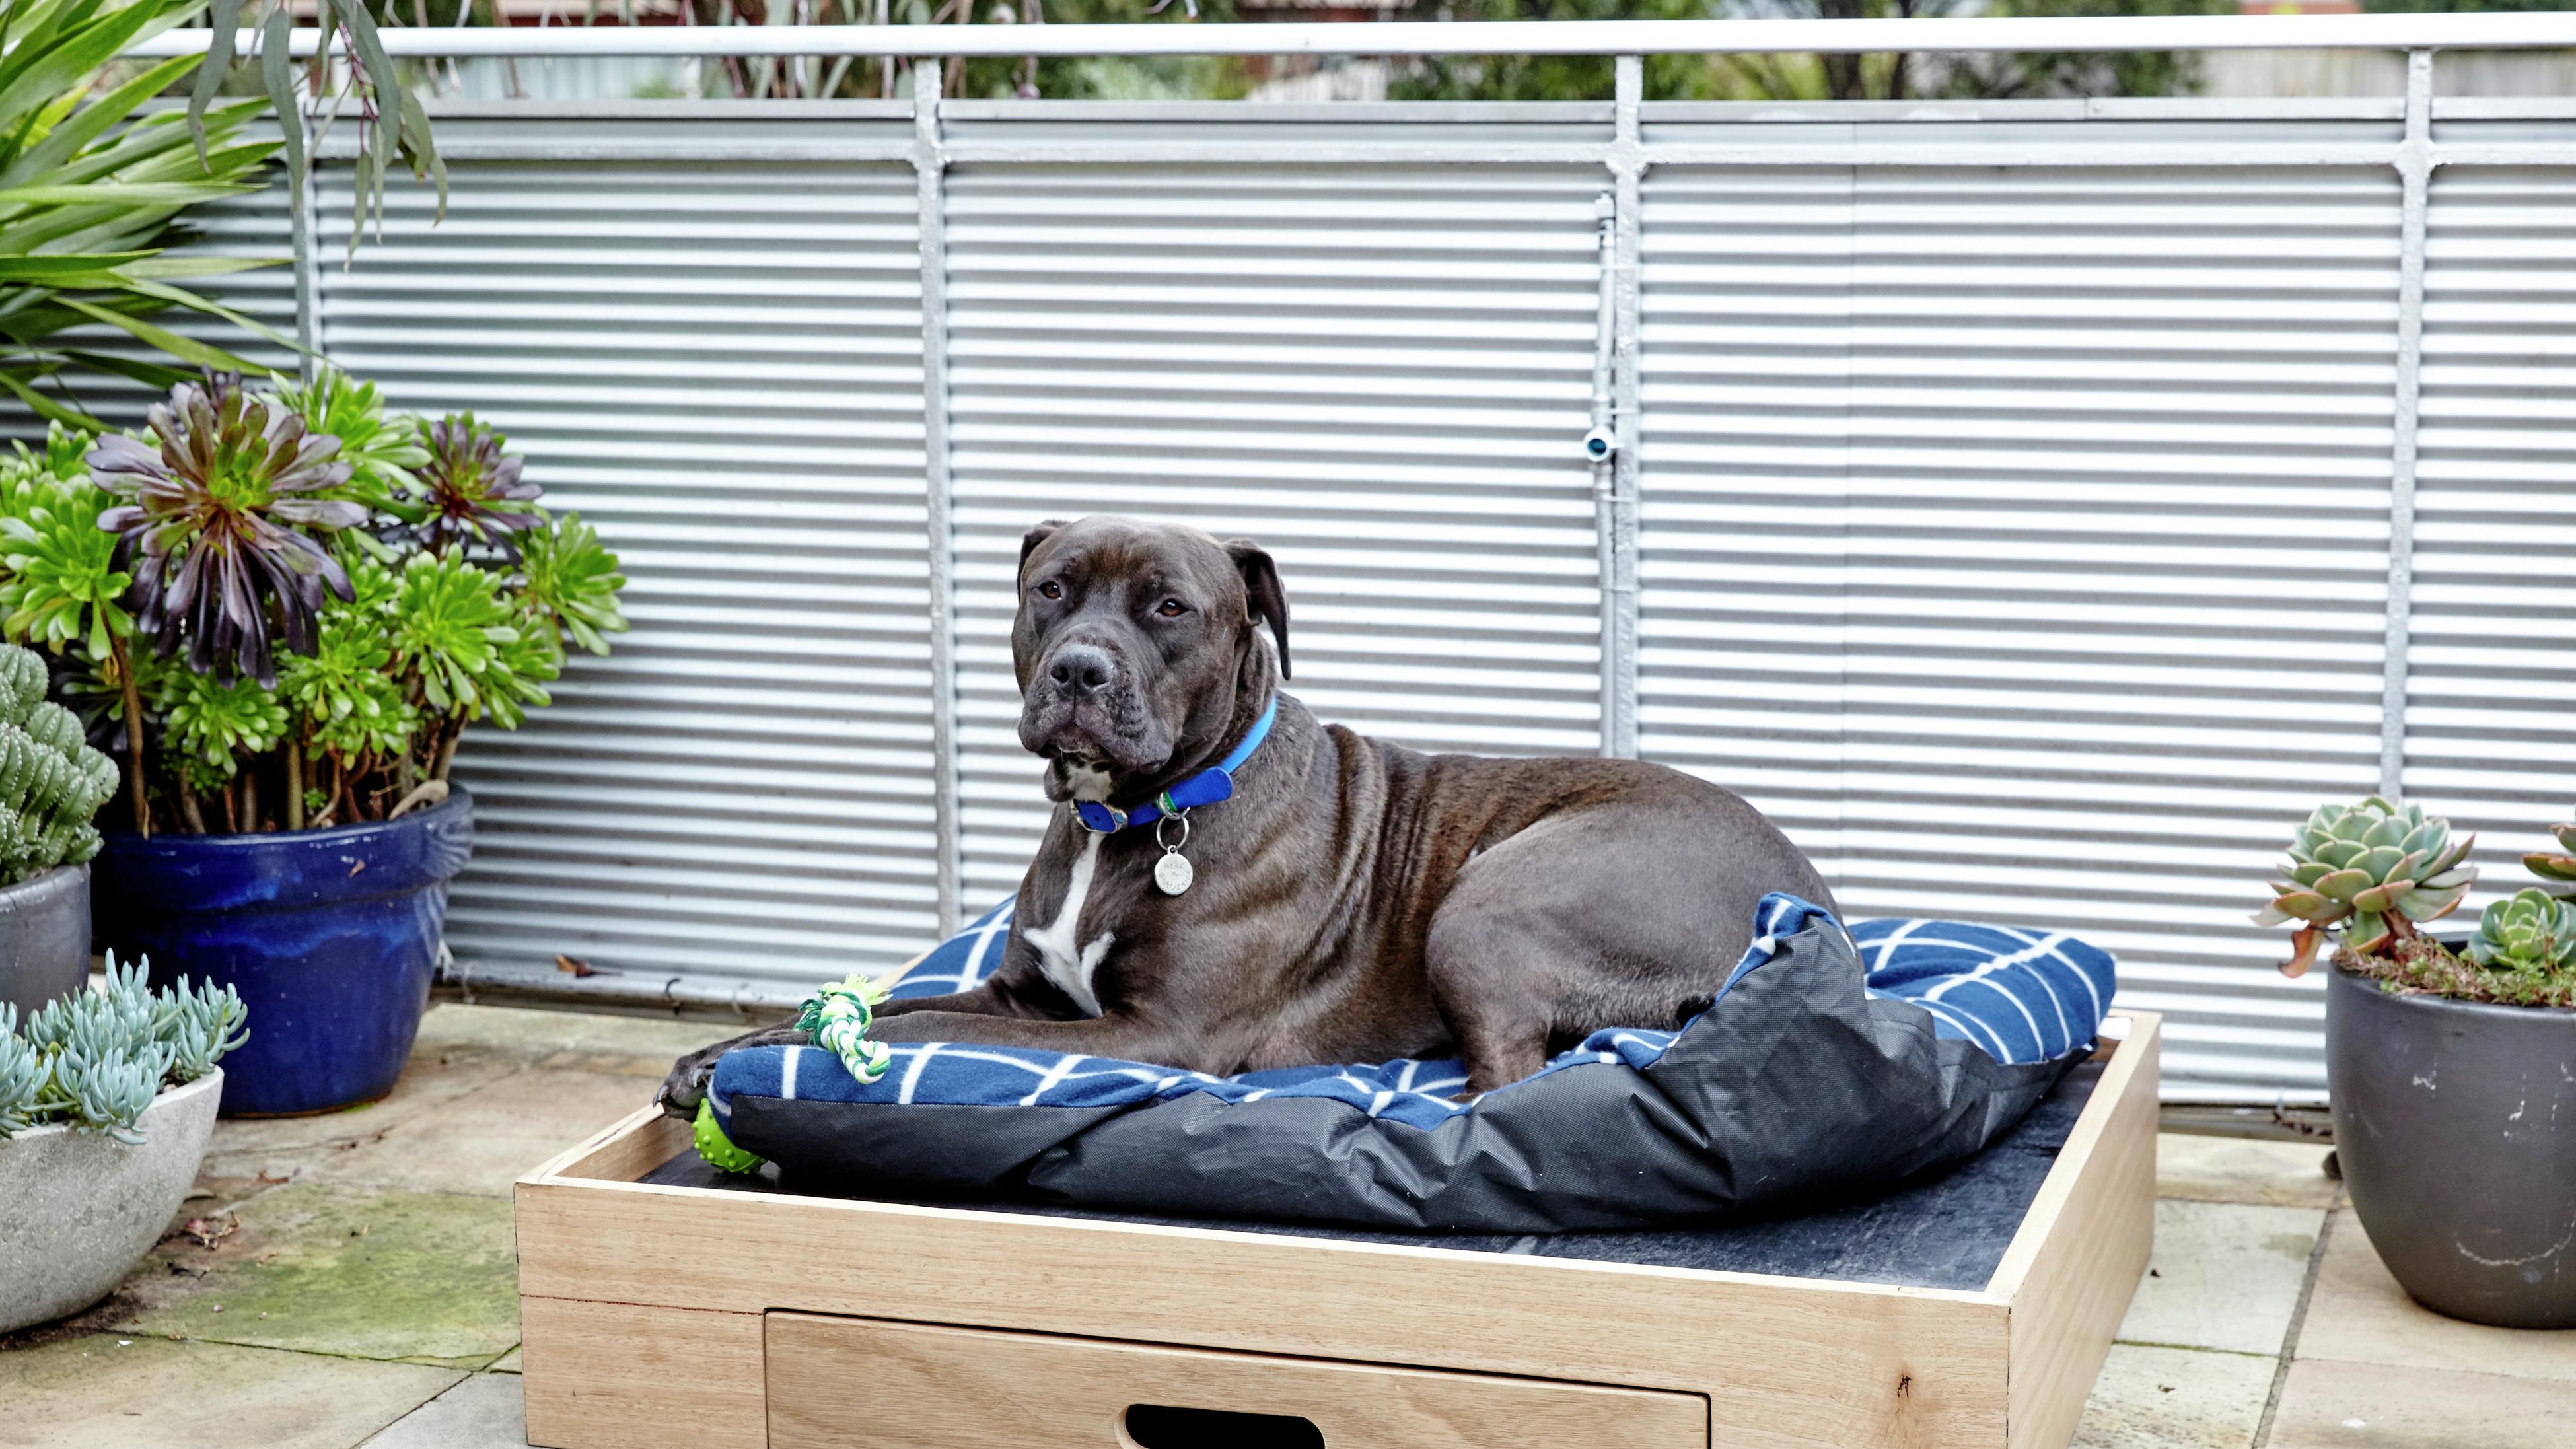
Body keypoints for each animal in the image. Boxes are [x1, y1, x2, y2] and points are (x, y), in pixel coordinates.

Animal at [664, 514, 1834, 1117]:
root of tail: (1809, 903)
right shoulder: (1023, 994)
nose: (1079, 670)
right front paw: (725, 1052)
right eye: (1052, 588)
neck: (1127, 819)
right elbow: (899, 1009)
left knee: (1513, 1078)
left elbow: (926, 1027)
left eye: (1170, 607)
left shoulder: (1154, 1032)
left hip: (1493, 903)